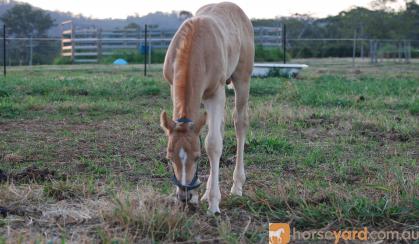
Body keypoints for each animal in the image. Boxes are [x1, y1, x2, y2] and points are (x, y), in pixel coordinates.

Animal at [160, 1, 253, 214]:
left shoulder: (216, 92)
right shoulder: (172, 86)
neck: (194, 44)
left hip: (242, 79)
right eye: (169, 158)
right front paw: (197, 196)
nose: (184, 195)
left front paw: (213, 203)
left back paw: (237, 186)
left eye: (197, 157)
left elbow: (212, 144)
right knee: (221, 126)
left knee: (239, 123)